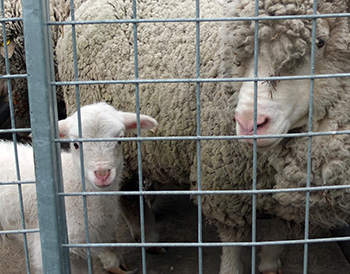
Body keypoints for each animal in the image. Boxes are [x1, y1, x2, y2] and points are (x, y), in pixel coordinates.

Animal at [56, 0, 350, 272]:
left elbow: (277, 234)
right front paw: (231, 269)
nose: (248, 123)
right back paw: (130, 247)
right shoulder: (225, 185)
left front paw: (269, 264)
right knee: (120, 194)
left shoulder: (283, 195)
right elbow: (233, 243)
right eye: (237, 55)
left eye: (321, 42)